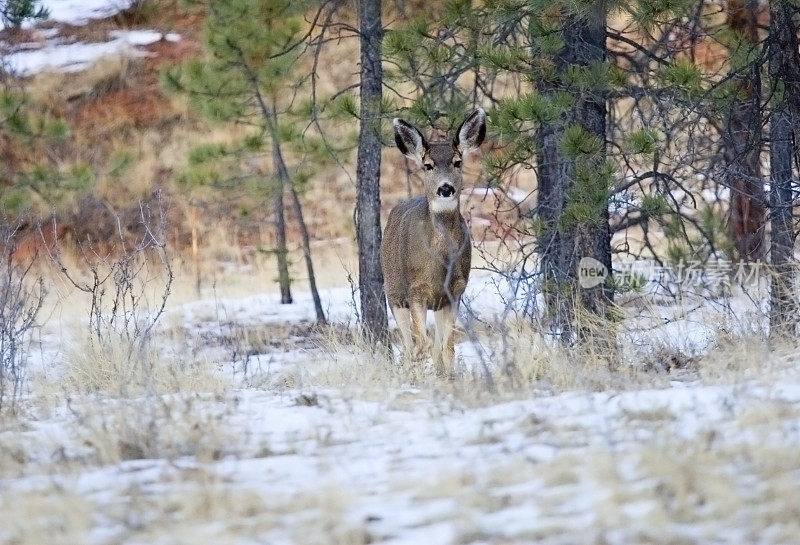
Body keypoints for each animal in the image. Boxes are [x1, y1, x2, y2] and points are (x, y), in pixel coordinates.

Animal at [382, 108, 488, 376]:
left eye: (457, 162)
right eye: (428, 166)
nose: (446, 188)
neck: (440, 264)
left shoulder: (455, 291)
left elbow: (446, 347)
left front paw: (448, 377)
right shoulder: (415, 290)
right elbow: (422, 343)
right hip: (394, 292)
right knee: (409, 345)